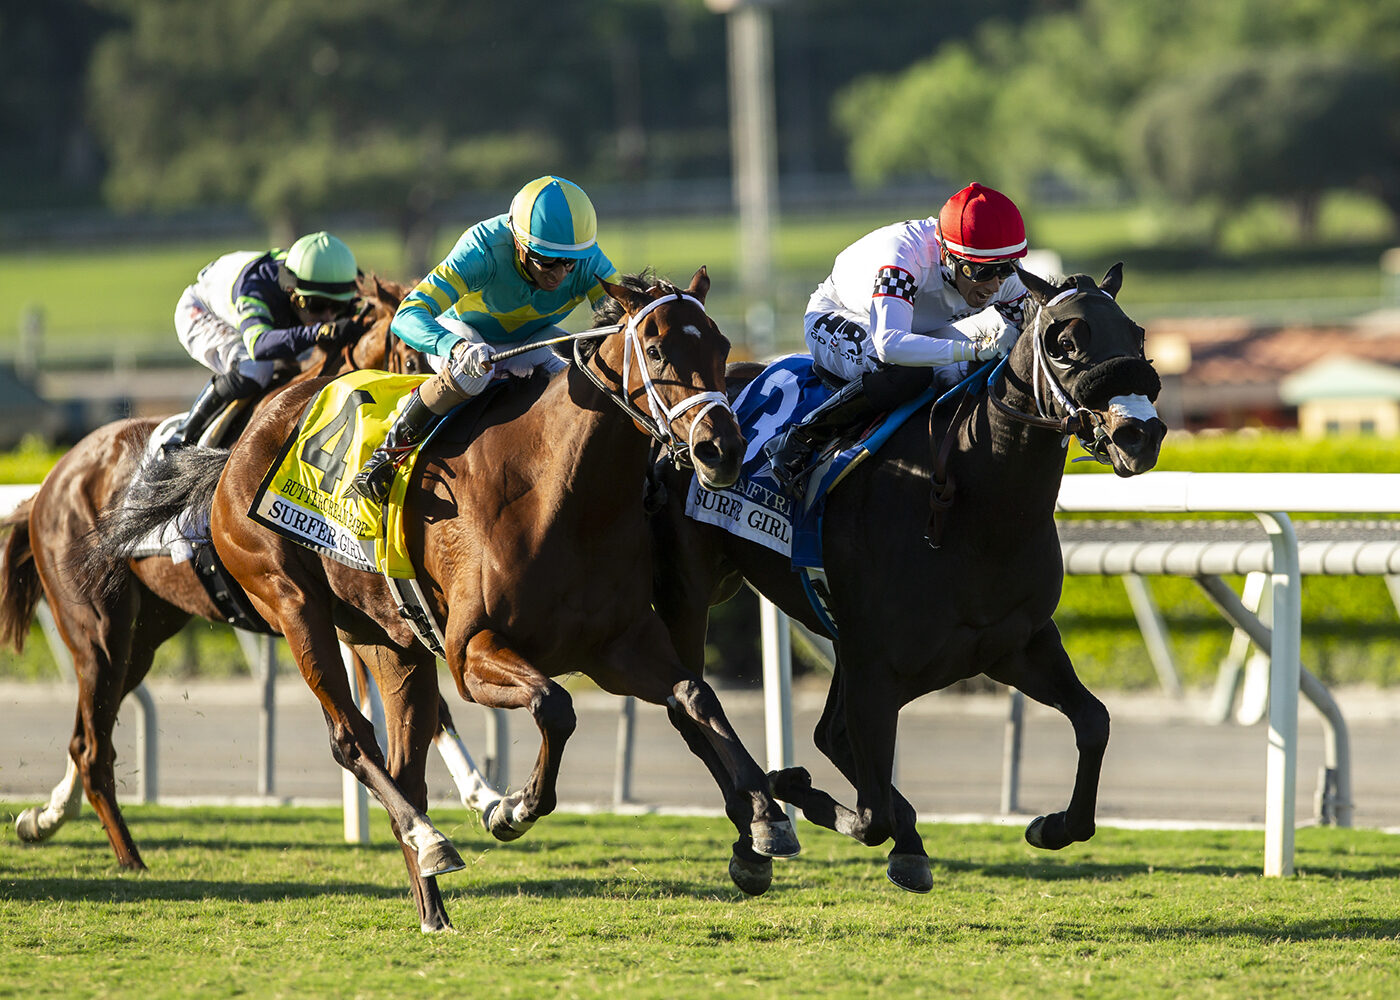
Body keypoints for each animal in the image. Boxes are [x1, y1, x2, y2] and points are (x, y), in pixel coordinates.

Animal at [0, 275, 425, 868]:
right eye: (406, 356)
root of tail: (48, 484)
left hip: (145, 634)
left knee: (87, 736)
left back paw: (45, 819)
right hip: (98, 631)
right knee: (92, 746)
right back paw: (129, 856)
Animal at [90, 268, 800, 929]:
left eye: (721, 344)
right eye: (654, 349)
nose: (722, 448)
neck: (560, 494)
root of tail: (239, 447)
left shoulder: (617, 644)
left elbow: (694, 695)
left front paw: (766, 820)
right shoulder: (471, 653)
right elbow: (555, 705)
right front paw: (512, 808)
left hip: (389, 639)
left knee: (404, 762)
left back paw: (433, 903)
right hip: (291, 604)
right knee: (350, 739)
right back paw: (431, 839)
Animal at [649, 263, 1164, 890]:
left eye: (1137, 336)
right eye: (1063, 344)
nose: (1141, 434)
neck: (973, 509)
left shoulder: (1014, 643)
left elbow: (1094, 722)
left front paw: (1051, 825)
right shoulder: (877, 665)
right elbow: (870, 814)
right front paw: (791, 788)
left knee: (823, 734)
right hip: (689, 594)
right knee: (691, 705)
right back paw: (759, 833)